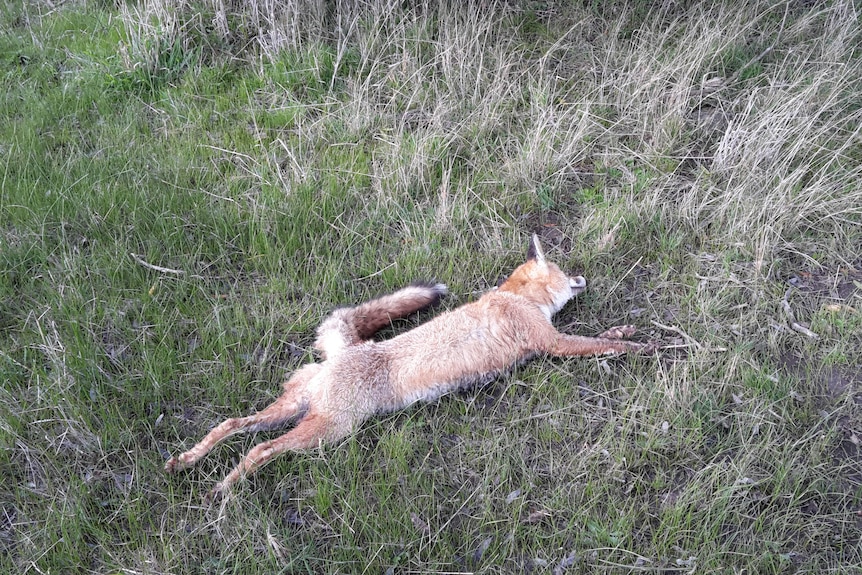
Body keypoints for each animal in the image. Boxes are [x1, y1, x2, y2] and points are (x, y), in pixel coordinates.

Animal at [165, 234, 650, 500]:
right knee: (259, 450)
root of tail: (348, 351)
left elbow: (604, 336)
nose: (583, 278)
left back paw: (185, 461)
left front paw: (626, 330)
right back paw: (224, 488)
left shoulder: (550, 339)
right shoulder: (551, 343)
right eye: (567, 272)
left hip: (292, 411)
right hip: (328, 431)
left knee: (231, 425)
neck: (516, 299)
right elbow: (599, 343)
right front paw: (642, 346)